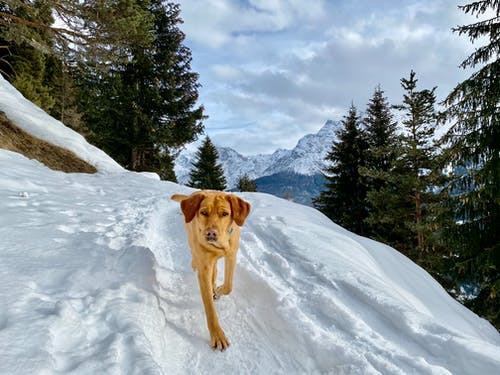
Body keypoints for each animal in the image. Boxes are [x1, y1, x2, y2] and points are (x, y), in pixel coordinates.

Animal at [171, 191, 250, 352]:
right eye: (203, 212)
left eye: (225, 214)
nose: (210, 233)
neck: (220, 245)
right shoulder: (204, 268)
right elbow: (209, 307)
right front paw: (217, 335)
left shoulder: (231, 256)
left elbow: (229, 286)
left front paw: (218, 290)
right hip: (192, 243)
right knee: (196, 259)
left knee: (215, 270)